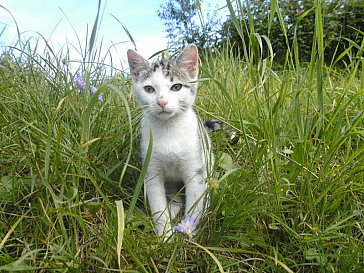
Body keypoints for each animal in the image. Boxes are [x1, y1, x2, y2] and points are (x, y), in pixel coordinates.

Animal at [127, 44, 213, 238]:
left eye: (176, 87)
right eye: (149, 89)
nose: (162, 102)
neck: (168, 130)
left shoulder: (195, 171)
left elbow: (195, 204)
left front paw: (189, 232)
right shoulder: (151, 171)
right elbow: (158, 206)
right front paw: (165, 236)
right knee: (174, 199)